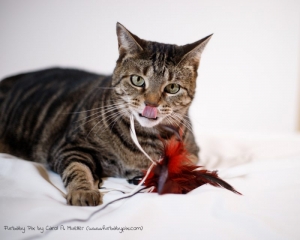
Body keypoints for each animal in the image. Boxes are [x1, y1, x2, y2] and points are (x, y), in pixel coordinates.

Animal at [0, 23, 211, 206]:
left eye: (172, 88)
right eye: (137, 80)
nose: (151, 104)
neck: (145, 139)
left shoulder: (193, 152)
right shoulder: (69, 147)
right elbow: (77, 169)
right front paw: (84, 192)